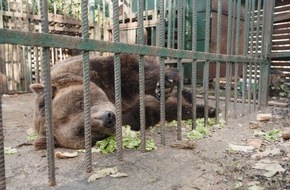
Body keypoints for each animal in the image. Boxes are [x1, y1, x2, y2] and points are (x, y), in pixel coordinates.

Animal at [30, 53, 215, 150]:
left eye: (80, 104)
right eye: (82, 131)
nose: (108, 118)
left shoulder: (97, 72)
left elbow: (130, 70)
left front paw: (165, 83)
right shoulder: (132, 115)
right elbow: (152, 112)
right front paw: (201, 110)